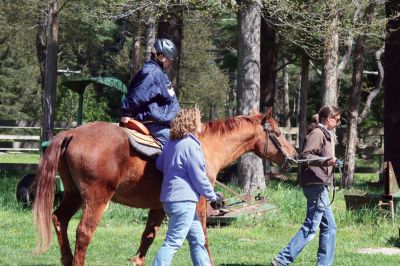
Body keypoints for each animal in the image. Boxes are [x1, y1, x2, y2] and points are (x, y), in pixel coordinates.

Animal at [33, 108, 296, 266]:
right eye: (278, 132)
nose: (294, 155)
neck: (205, 146)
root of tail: (71, 134)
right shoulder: (199, 204)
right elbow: (203, 238)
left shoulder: (159, 207)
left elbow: (148, 236)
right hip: (96, 200)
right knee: (84, 232)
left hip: (73, 195)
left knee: (59, 219)